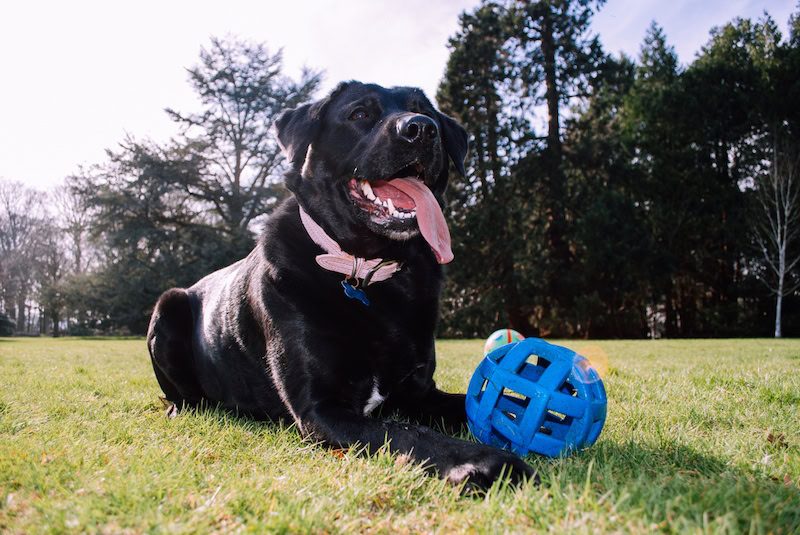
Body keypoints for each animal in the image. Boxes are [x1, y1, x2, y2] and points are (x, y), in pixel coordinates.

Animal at [147, 80, 536, 490]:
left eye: (425, 112)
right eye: (359, 113)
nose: (421, 129)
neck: (367, 273)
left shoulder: (419, 393)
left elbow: (482, 405)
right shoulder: (322, 407)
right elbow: (407, 431)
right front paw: (485, 461)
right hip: (168, 305)